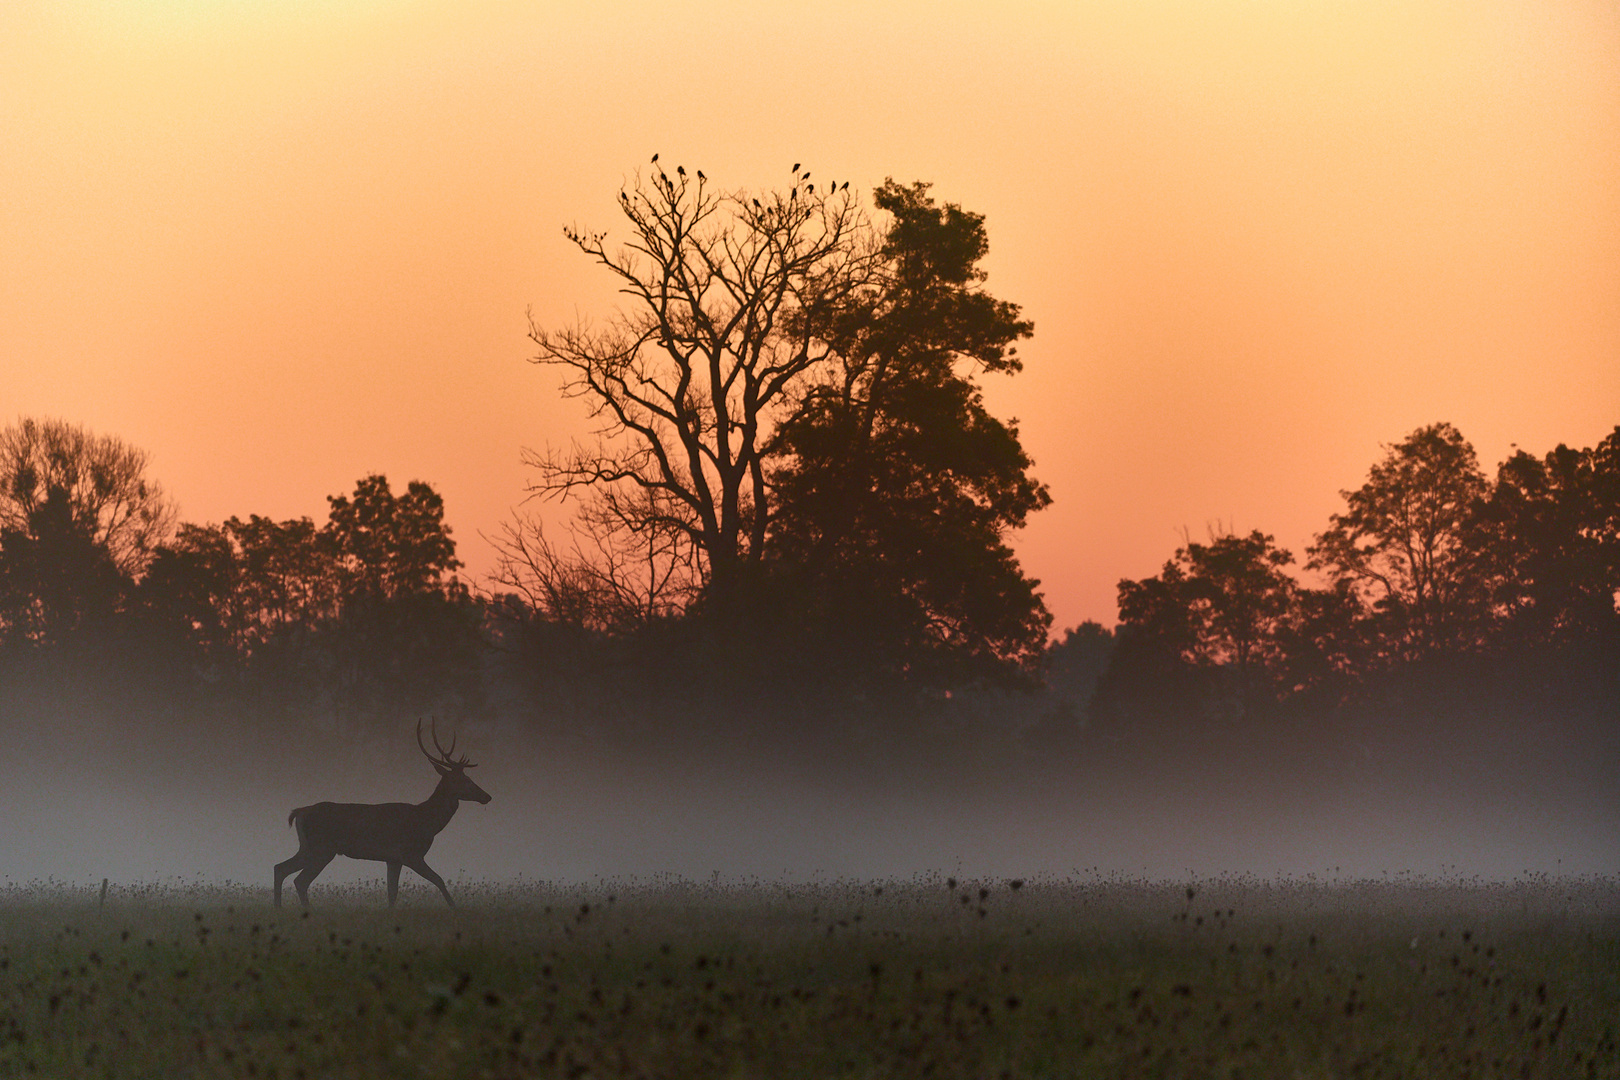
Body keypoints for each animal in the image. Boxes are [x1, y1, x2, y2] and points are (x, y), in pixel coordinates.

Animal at [272, 722, 489, 906]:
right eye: (465, 780)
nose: (487, 796)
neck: (427, 822)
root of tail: (300, 812)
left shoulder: (393, 858)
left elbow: (392, 892)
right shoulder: (410, 853)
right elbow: (438, 879)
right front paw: (455, 909)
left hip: (307, 847)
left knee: (280, 868)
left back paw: (278, 908)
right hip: (323, 847)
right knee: (300, 880)